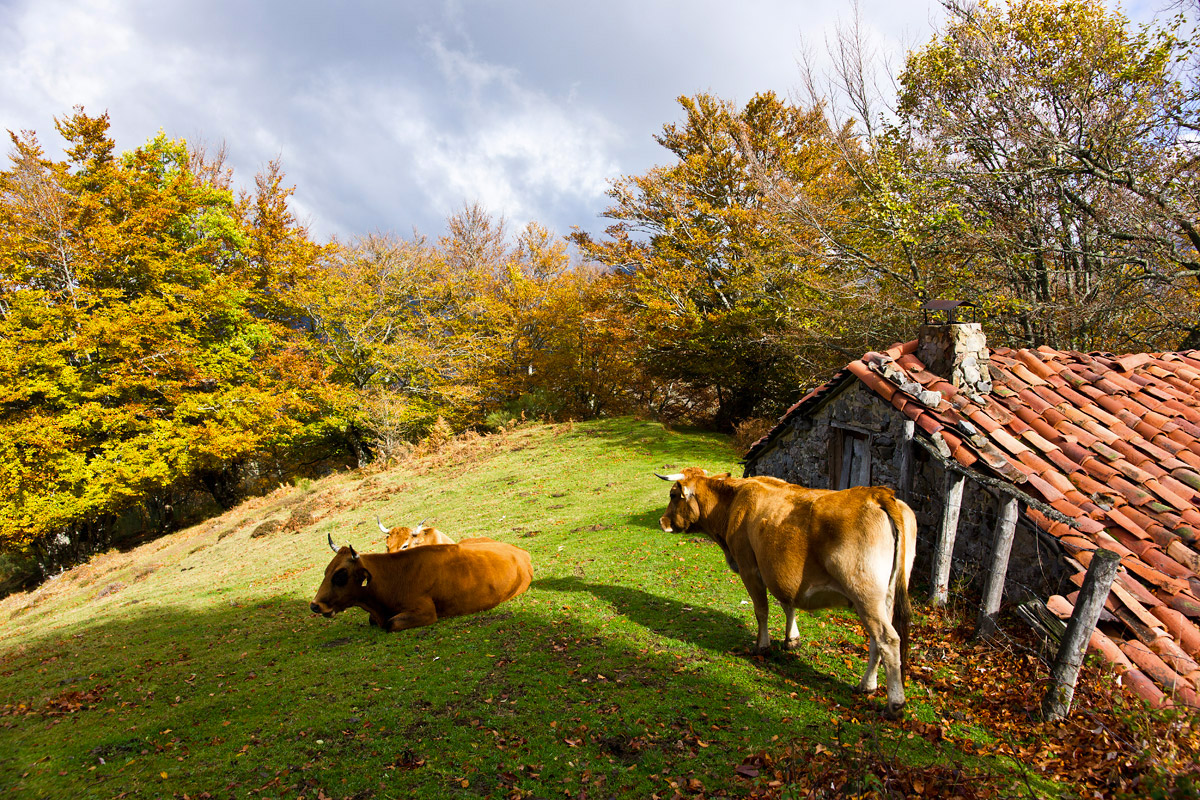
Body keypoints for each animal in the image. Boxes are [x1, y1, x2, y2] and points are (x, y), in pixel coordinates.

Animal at [312, 532, 532, 633]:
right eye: (326, 571)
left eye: (340, 576)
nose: (314, 605)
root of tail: (521, 551)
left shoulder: (426, 612)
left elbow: (391, 623)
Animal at [657, 470, 916, 719]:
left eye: (673, 495)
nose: (662, 521)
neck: (732, 502)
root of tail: (877, 494)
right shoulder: (777, 570)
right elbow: (787, 602)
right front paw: (791, 638)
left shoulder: (750, 567)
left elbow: (761, 610)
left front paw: (762, 645)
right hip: (885, 598)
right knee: (875, 642)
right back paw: (867, 685)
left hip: (865, 594)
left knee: (887, 640)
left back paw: (894, 704)